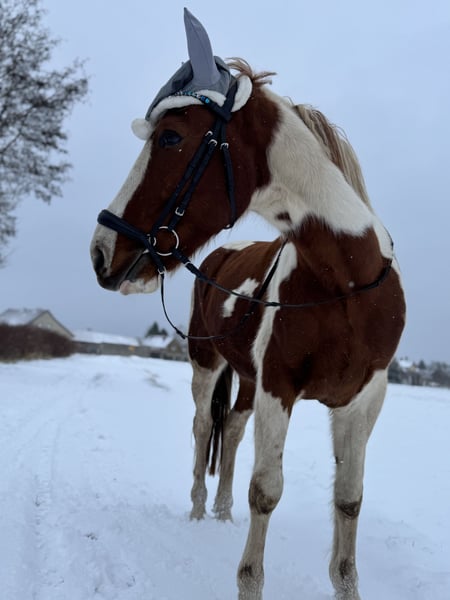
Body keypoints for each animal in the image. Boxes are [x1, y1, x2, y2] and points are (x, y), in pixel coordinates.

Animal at [90, 9, 405, 600]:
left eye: (171, 136)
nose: (100, 252)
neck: (347, 284)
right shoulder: (278, 386)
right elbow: (267, 491)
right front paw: (248, 577)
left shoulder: (363, 399)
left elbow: (348, 503)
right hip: (207, 365)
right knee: (201, 429)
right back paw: (198, 509)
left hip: (246, 379)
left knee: (231, 429)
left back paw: (220, 509)